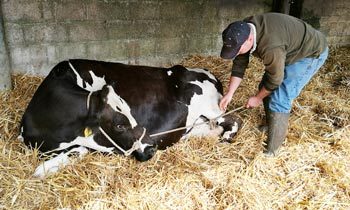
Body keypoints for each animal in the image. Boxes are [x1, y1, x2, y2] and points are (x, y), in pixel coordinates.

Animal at [18, 58, 241, 177]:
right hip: (196, 124)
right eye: (119, 125)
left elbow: (80, 149)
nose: (150, 148)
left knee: (235, 120)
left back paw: (227, 136)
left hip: (212, 107)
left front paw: (42, 170)